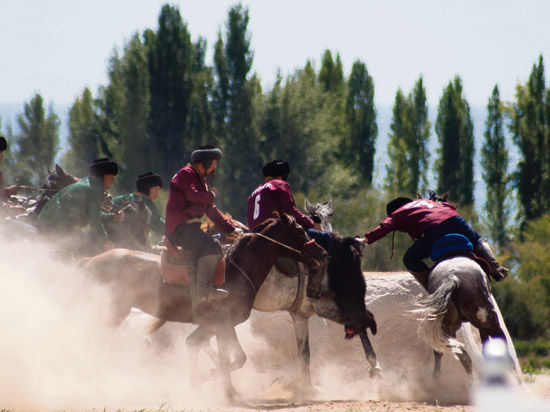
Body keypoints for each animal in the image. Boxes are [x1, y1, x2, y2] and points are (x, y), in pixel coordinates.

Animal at [80, 214, 326, 400]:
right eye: (298, 231)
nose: (322, 253)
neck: (236, 271)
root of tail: (91, 260)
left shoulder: (219, 325)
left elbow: (219, 353)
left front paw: (224, 389)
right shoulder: (222, 323)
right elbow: (233, 358)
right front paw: (209, 379)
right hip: (112, 312)